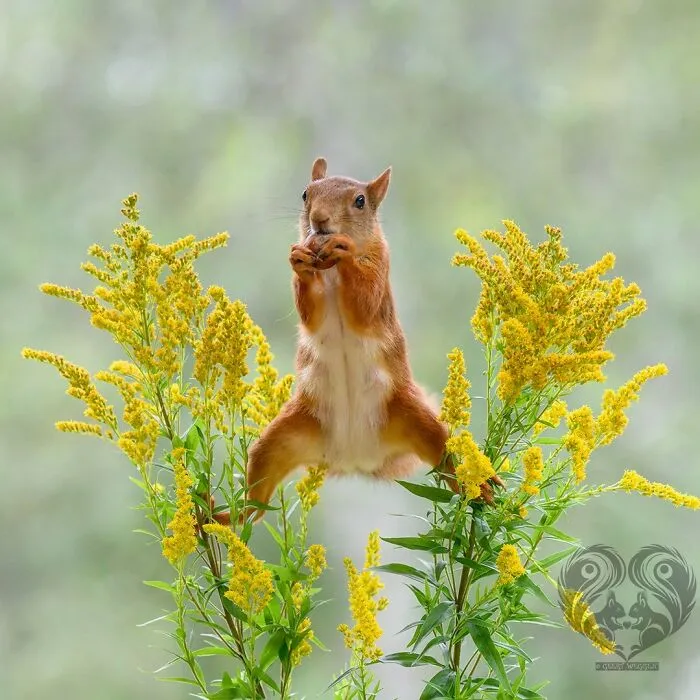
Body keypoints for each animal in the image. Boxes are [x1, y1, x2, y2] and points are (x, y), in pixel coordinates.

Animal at [215, 158, 497, 523]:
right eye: (305, 194)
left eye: (360, 201)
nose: (319, 219)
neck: (332, 272)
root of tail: (355, 459)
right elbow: (310, 313)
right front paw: (299, 261)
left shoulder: (380, 269)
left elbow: (363, 305)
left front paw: (345, 252)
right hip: (279, 441)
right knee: (253, 508)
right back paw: (217, 517)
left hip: (419, 423)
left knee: (450, 458)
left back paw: (482, 486)